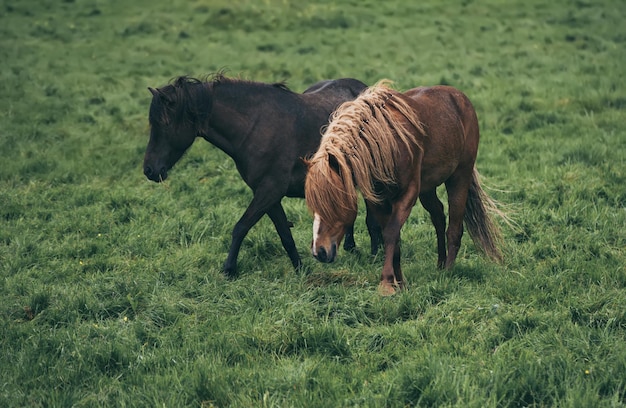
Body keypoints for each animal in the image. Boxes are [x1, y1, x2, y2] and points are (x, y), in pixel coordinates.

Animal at [142, 74, 380, 278]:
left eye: (164, 124)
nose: (149, 170)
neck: (255, 128)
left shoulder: (269, 192)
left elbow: (240, 228)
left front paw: (229, 270)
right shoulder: (269, 196)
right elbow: (284, 234)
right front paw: (300, 269)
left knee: (372, 217)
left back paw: (374, 254)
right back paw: (349, 246)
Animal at [304, 81, 504, 294]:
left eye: (333, 203)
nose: (319, 252)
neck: (385, 144)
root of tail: (459, 97)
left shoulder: (407, 195)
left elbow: (391, 233)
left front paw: (386, 283)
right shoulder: (378, 201)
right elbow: (393, 237)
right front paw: (399, 282)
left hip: (459, 177)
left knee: (454, 228)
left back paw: (449, 271)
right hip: (428, 189)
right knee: (439, 217)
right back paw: (440, 265)